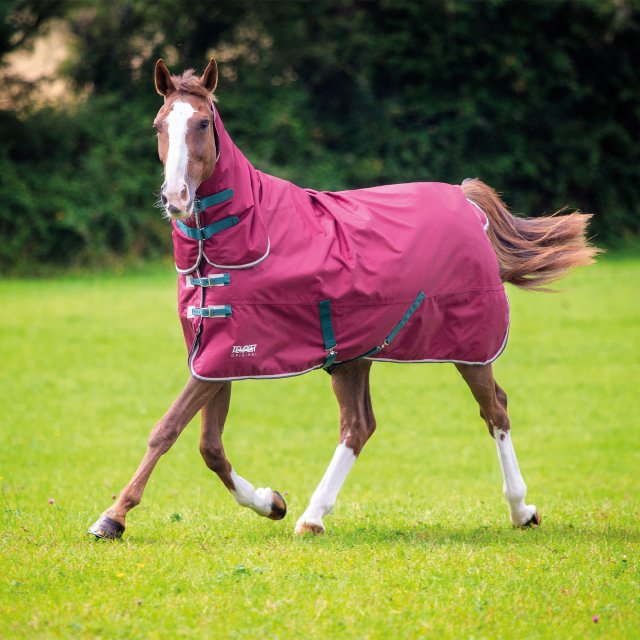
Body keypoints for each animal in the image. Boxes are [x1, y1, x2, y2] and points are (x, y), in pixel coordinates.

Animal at [87, 58, 596, 540]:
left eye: (203, 123)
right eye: (158, 124)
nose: (176, 197)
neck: (243, 237)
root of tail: (466, 199)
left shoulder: (225, 353)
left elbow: (167, 430)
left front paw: (112, 517)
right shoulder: (215, 352)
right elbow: (209, 446)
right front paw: (271, 502)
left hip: (469, 348)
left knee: (495, 410)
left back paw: (521, 510)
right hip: (355, 356)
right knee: (359, 425)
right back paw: (311, 517)